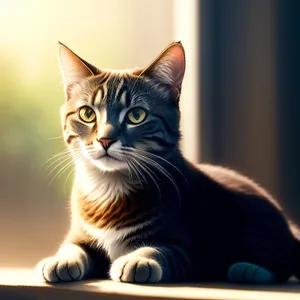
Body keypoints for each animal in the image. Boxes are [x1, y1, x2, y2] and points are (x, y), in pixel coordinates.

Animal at [37, 41, 300, 284]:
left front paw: (138, 260)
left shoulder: (187, 247)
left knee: (282, 261)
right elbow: (72, 246)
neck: (109, 185)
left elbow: (162, 250)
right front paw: (61, 259)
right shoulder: (79, 234)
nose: (105, 139)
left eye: (136, 115)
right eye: (87, 114)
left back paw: (249, 269)